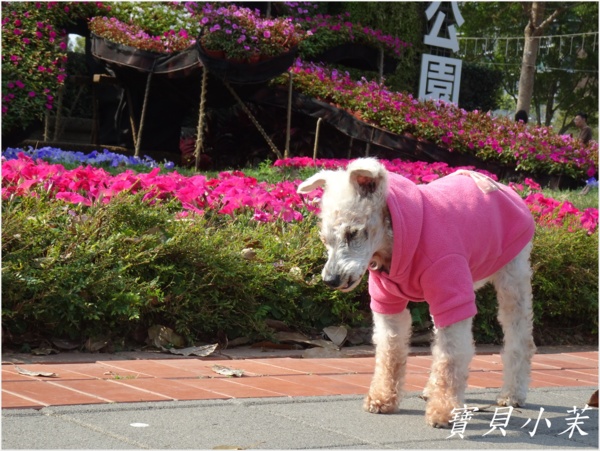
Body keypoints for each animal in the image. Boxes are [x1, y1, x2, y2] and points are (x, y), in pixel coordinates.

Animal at [297, 157, 536, 428]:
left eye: (353, 233)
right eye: (325, 239)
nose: (330, 280)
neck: (392, 244)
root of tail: (504, 188)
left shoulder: (452, 295)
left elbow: (450, 358)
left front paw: (443, 411)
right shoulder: (387, 302)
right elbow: (390, 352)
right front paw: (382, 399)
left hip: (512, 277)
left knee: (520, 338)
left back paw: (512, 394)